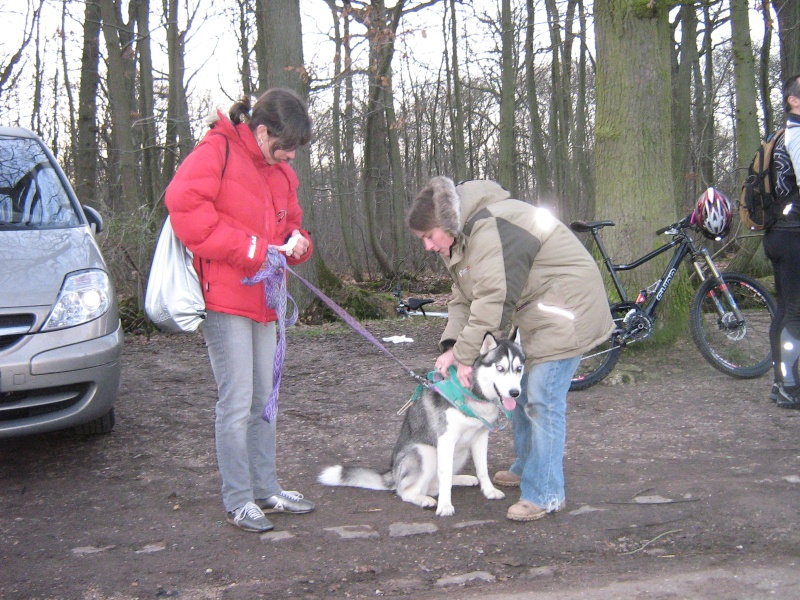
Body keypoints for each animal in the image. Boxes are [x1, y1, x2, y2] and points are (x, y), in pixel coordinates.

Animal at [318, 328, 524, 516]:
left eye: (519, 369)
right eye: (500, 368)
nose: (515, 393)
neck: (472, 394)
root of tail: (393, 472)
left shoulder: (480, 437)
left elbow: (482, 469)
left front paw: (489, 491)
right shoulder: (446, 440)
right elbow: (444, 477)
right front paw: (445, 506)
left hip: (461, 451)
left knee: (437, 482)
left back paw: (462, 479)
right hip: (426, 452)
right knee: (406, 491)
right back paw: (424, 499)